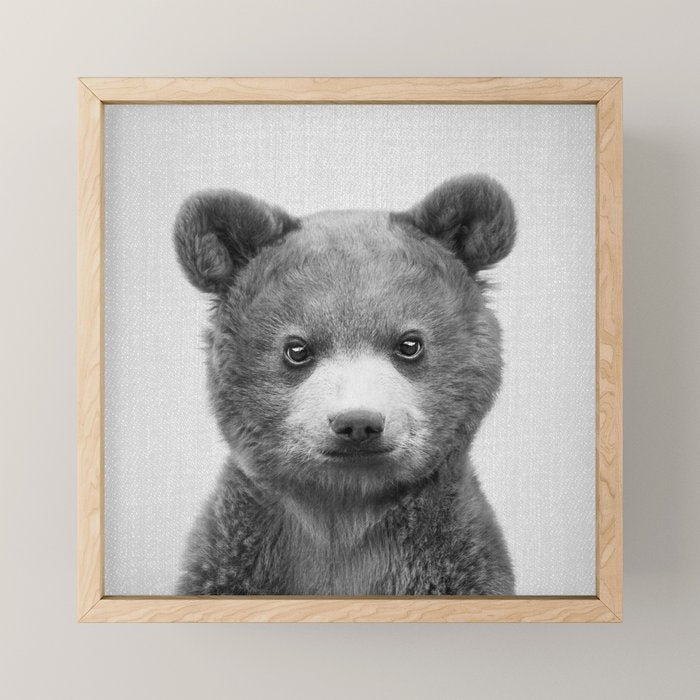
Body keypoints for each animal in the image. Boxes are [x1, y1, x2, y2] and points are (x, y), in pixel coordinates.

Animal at [174, 174, 516, 596]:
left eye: (409, 344)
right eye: (297, 349)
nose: (358, 422)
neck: (345, 510)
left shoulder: (455, 559)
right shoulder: (235, 555)